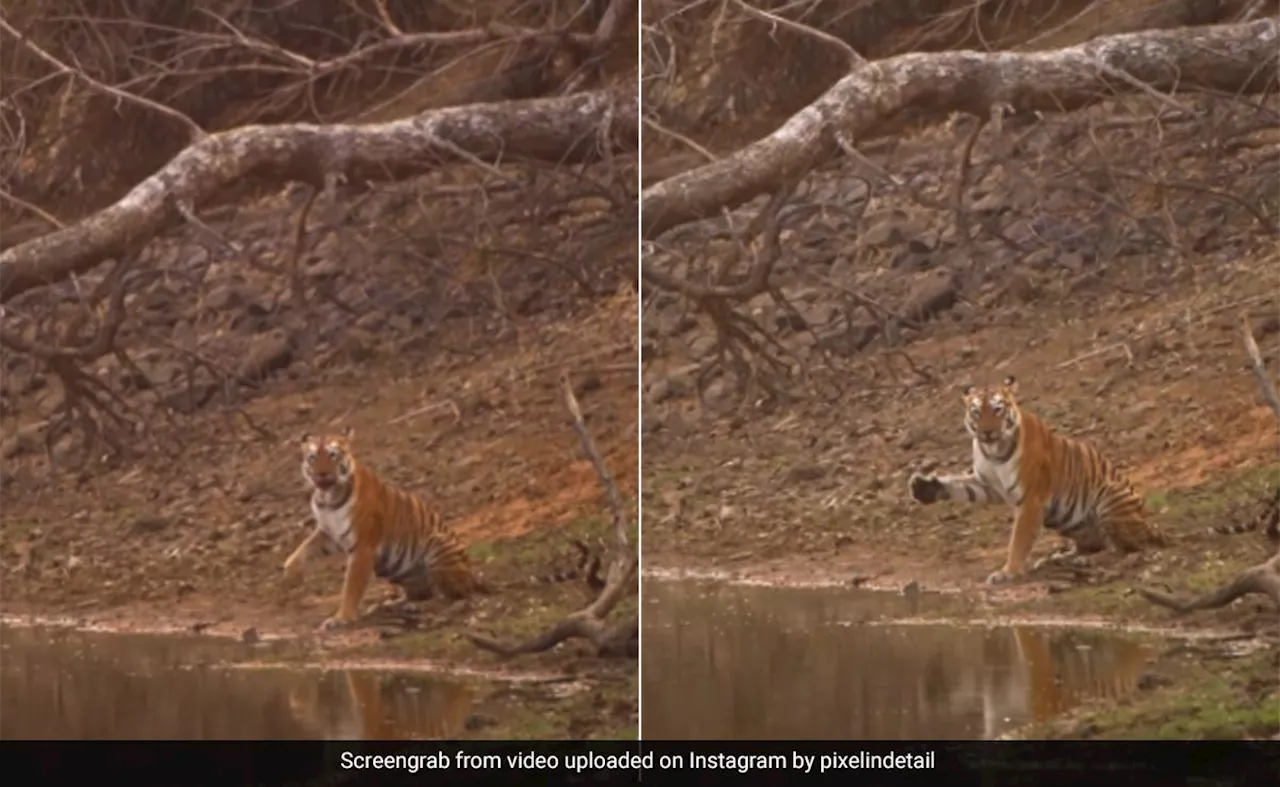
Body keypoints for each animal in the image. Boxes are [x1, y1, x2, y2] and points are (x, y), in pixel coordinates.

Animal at [285, 427, 599, 632]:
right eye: (313, 457)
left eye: (333, 455)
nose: (322, 474)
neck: (327, 497)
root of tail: (473, 574)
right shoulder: (329, 532)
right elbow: (303, 548)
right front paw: (292, 573)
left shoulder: (364, 545)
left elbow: (351, 586)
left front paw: (341, 618)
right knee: (422, 593)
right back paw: (391, 603)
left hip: (437, 548)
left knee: (451, 597)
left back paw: (416, 607)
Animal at [906, 376, 1167, 586]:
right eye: (977, 412)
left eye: (998, 409)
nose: (987, 432)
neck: (993, 451)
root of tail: (1151, 525)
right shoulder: (987, 484)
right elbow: (960, 484)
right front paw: (924, 487)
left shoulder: (1031, 499)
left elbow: (1018, 540)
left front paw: (1007, 572)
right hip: (1066, 520)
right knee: (1095, 543)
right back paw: (1059, 558)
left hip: (1109, 498)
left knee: (1123, 548)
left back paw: (1085, 561)